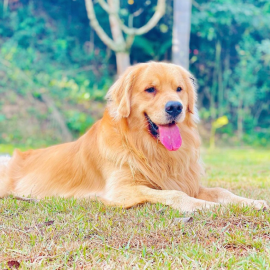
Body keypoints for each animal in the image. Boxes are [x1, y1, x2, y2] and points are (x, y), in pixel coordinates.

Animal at [0, 62, 268, 212]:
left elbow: (222, 191)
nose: (176, 107)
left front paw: (250, 202)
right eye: (150, 89)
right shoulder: (120, 190)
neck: (145, 146)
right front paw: (204, 206)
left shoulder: (185, 181)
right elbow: (174, 194)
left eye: (179, 89)